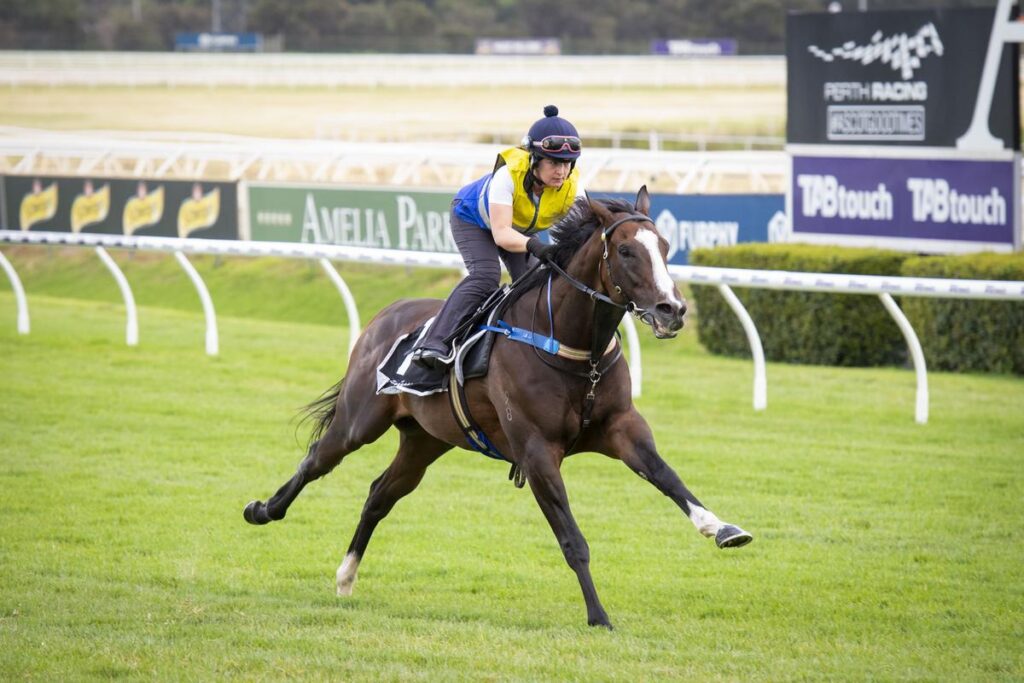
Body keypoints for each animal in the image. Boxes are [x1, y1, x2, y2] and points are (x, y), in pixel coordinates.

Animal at [243, 187, 752, 629]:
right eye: (626, 251)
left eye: (664, 246)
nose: (673, 310)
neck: (574, 347)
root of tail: (385, 315)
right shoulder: (537, 450)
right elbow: (573, 539)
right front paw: (599, 616)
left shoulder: (622, 428)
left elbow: (669, 478)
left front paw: (723, 528)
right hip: (360, 420)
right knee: (317, 460)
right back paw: (263, 510)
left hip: (425, 440)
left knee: (379, 494)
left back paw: (346, 577)